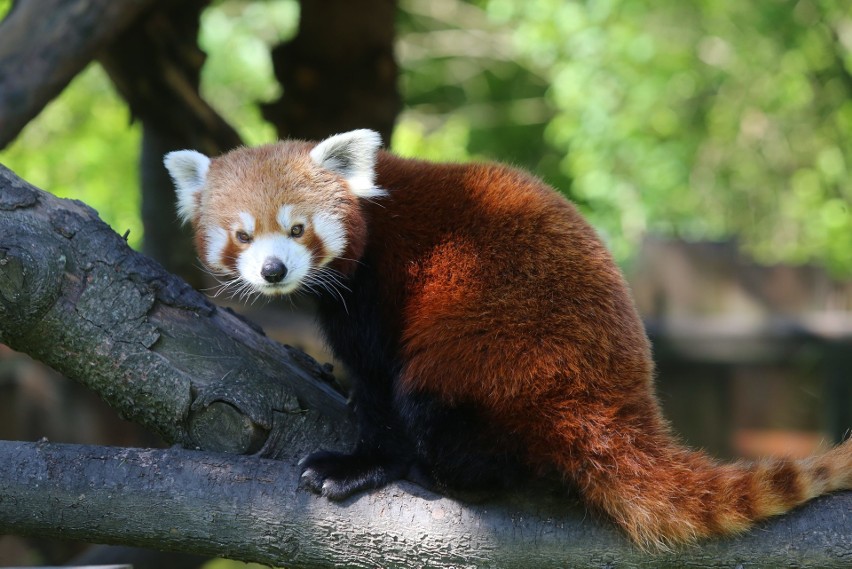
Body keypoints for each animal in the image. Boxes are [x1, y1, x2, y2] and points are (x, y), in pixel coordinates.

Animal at [165, 130, 852, 552]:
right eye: (242, 235)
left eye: (297, 229)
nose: (273, 270)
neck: (375, 216)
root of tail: (621, 401)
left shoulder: (381, 290)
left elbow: (380, 390)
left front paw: (359, 464)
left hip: (500, 354)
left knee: (435, 404)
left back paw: (448, 470)